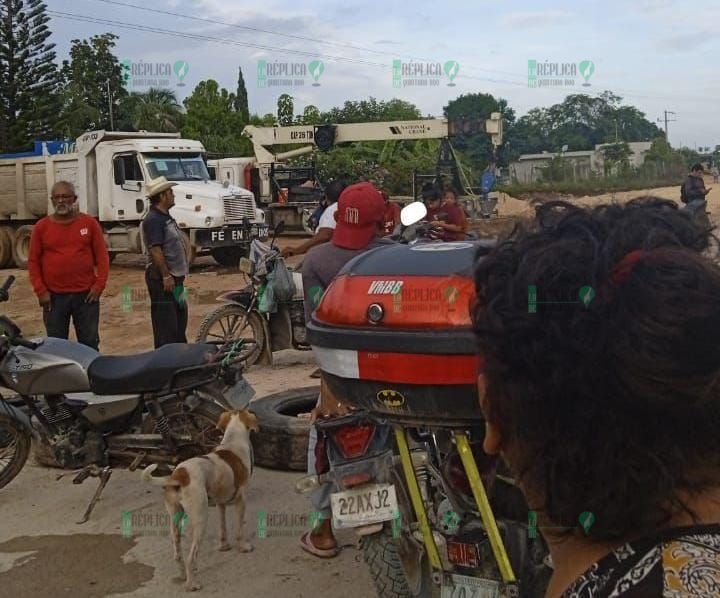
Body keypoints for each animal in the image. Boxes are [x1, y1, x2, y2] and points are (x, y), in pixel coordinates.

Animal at [141, 410, 258, 592]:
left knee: (177, 553)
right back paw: (191, 584)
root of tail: (179, 475)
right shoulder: (241, 501)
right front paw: (243, 547)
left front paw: (224, 546)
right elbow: (240, 529)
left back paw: (183, 575)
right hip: (201, 518)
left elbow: (223, 527)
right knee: (191, 556)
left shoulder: (220, 503)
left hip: (174, 520)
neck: (232, 441)